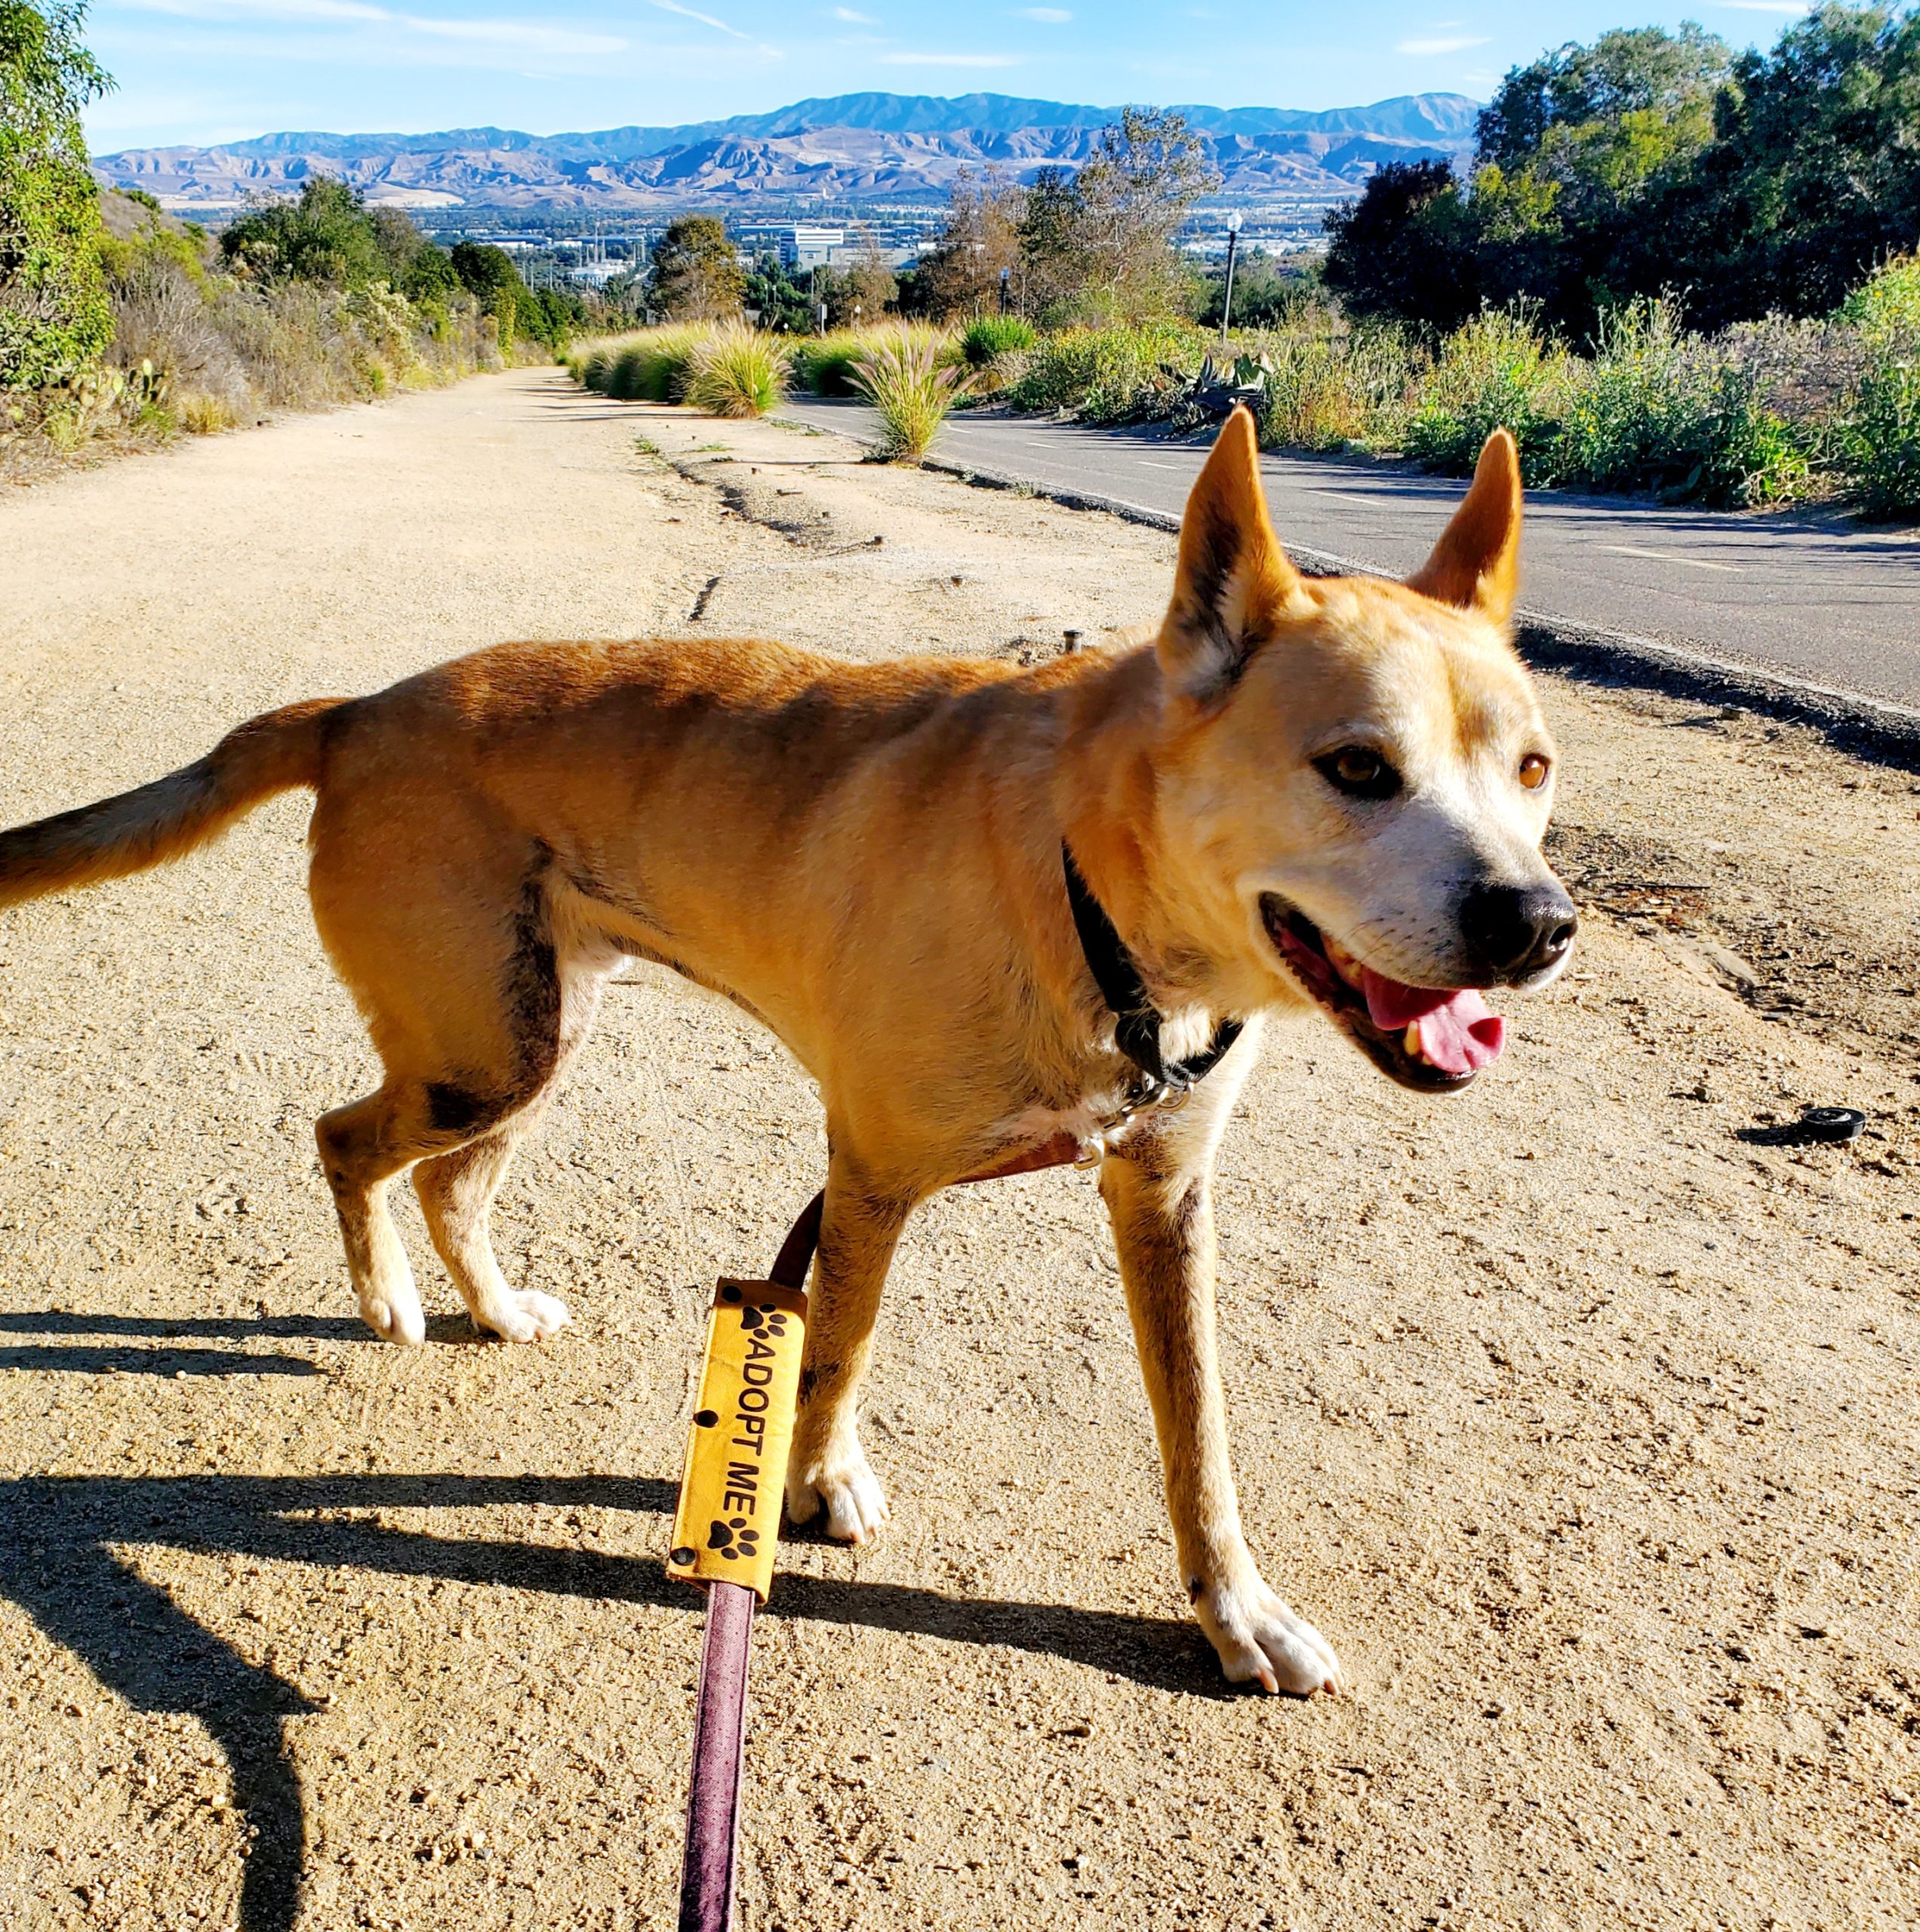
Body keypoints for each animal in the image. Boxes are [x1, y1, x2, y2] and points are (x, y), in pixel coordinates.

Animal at [0, 411, 1568, 1692]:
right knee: (349, 1141)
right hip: (481, 1051)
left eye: (1532, 770)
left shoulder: (1162, 1200)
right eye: (1355, 767)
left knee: (449, 1182)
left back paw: (490, 1309)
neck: (1088, 895)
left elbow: (1201, 1442)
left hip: (533, 1032)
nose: (1538, 924)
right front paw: (809, 1485)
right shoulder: (867, 1175)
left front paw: (1233, 1613)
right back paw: (388, 1302)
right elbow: (838, 1348)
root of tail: (354, 712)